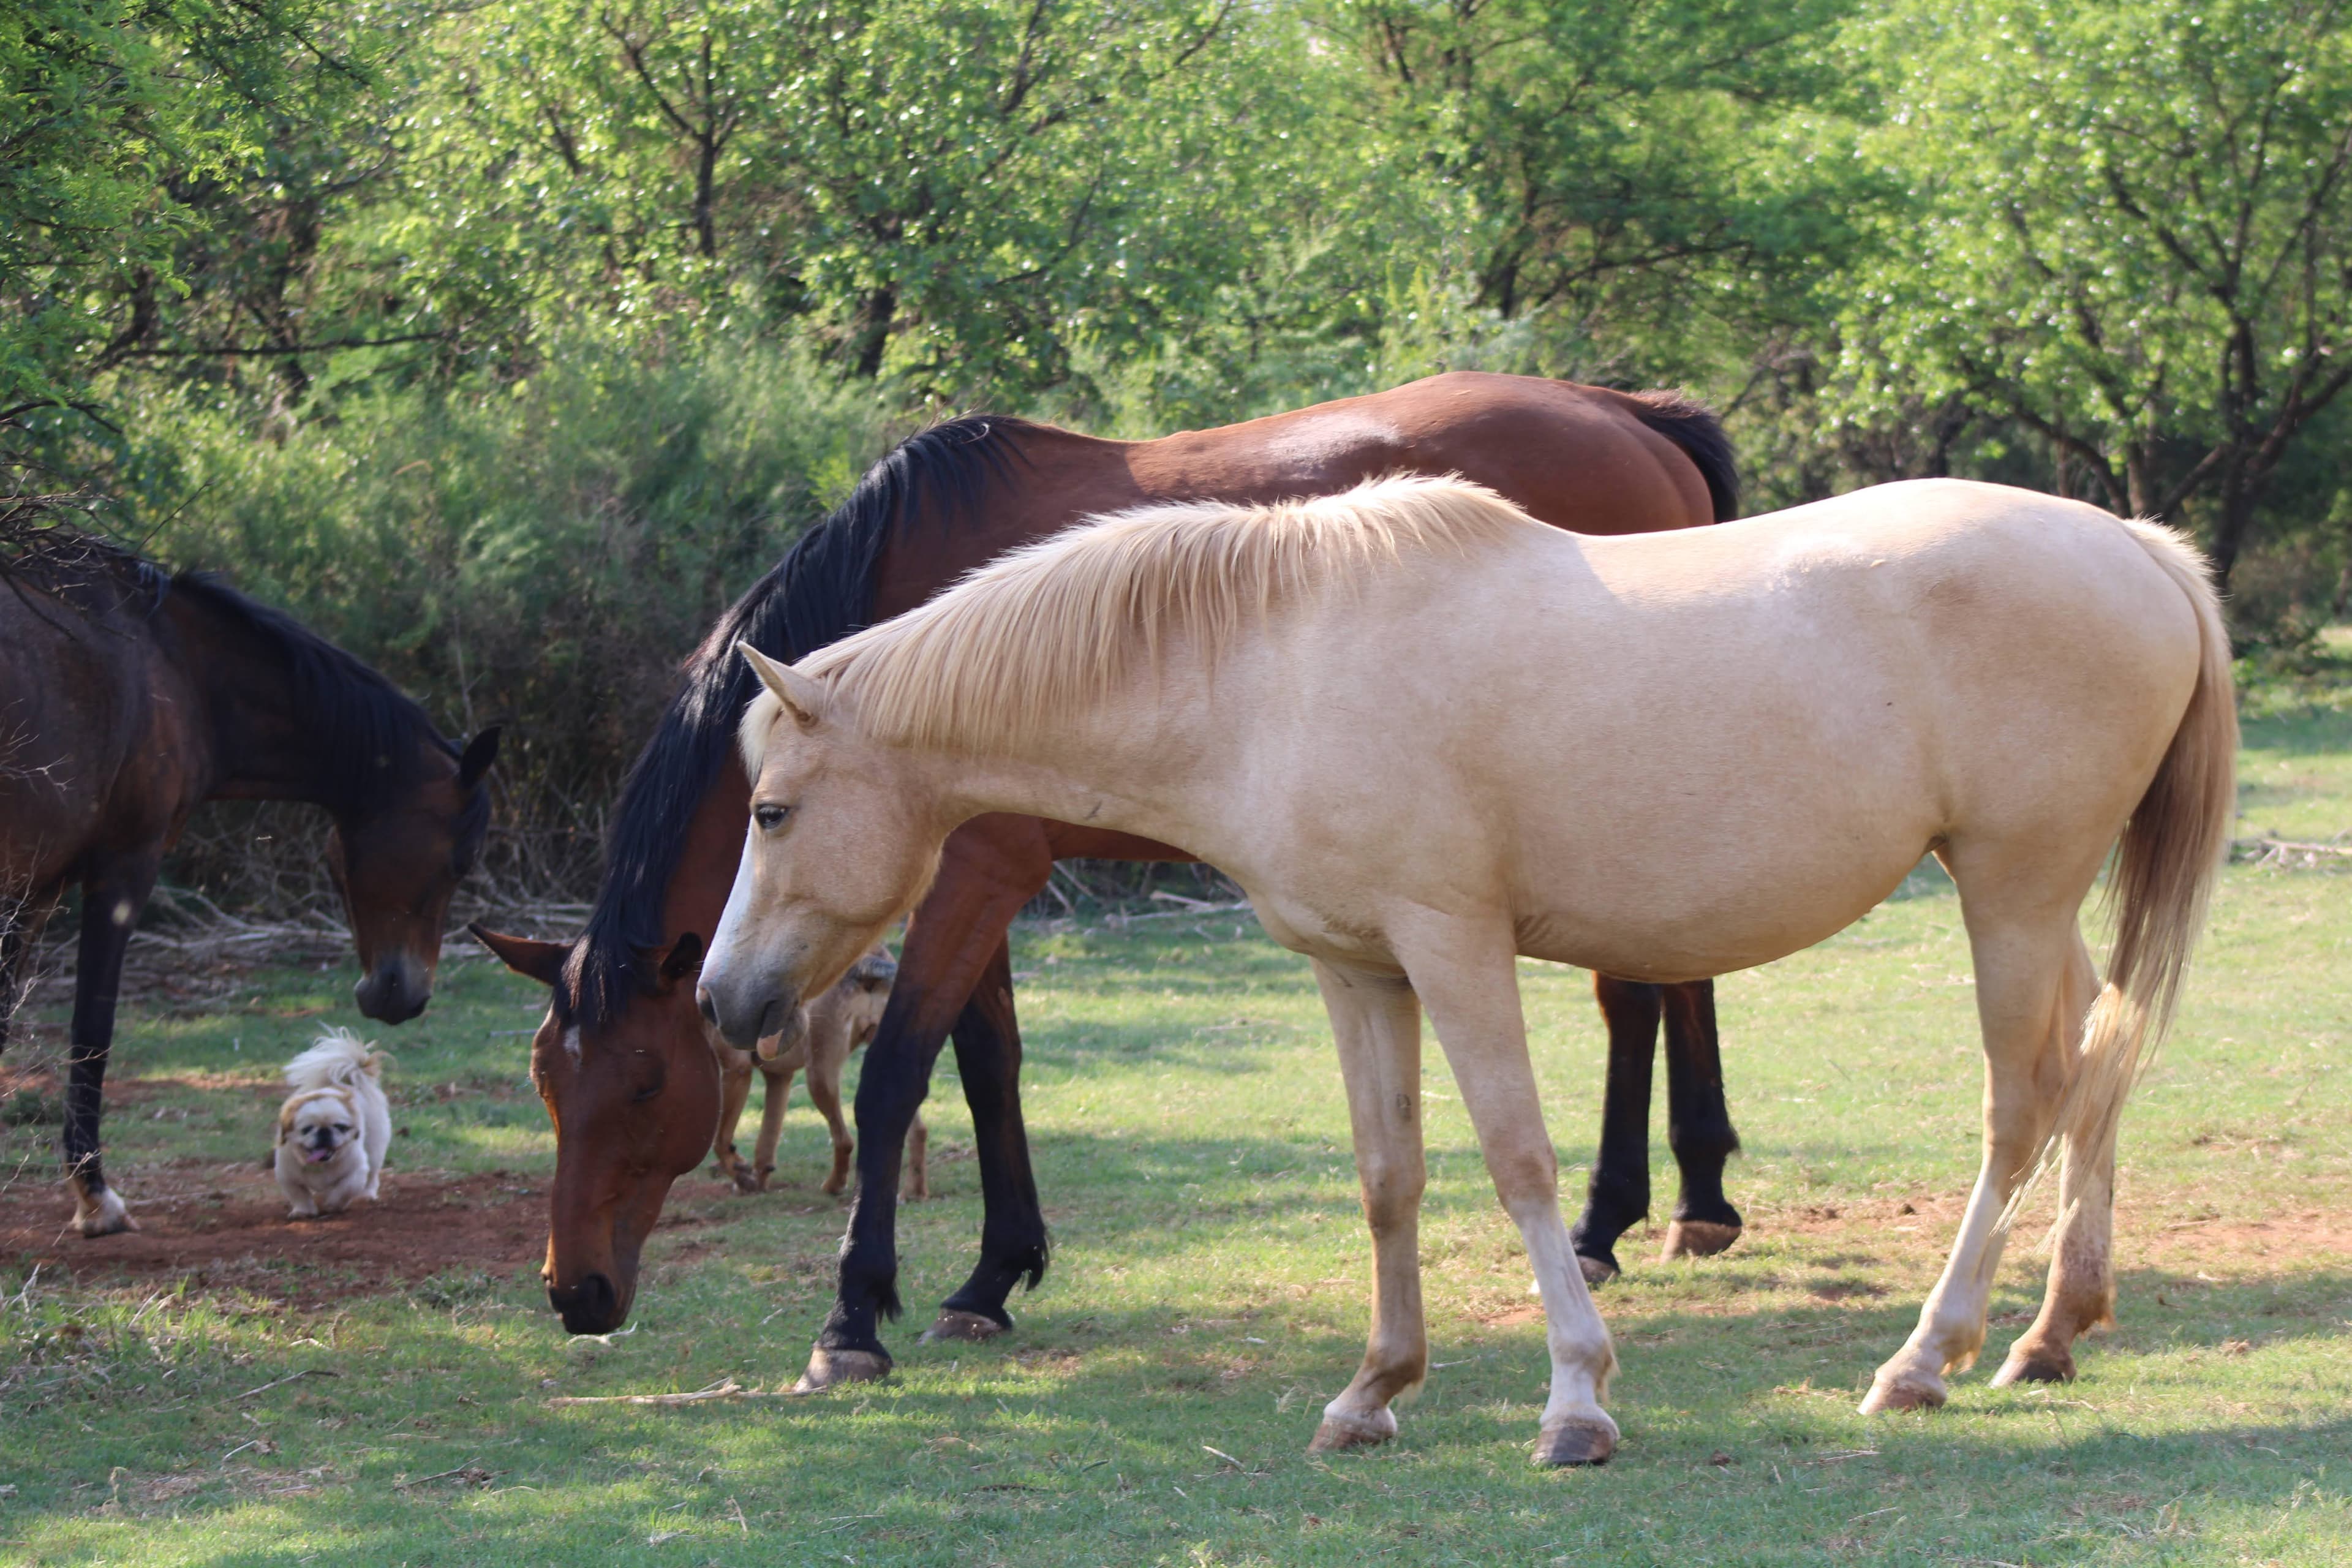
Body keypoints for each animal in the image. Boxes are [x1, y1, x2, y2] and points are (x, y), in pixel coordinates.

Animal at [0, 516, 499, 1235]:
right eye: (461, 860)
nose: (405, 998)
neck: (175, 665)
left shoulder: (34, 889)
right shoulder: (124, 866)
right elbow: (92, 1030)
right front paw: (96, 1197)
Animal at [470, 371, 1748, 1357]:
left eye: (644, 1084)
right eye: (548, 1088)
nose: (574, 1293)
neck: (910, 619)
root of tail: (1629, 411)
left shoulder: (975, 877)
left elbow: (897, 1075)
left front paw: (855, 1314)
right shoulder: (977, 878)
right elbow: (990, 1067)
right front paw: (992, 1277)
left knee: (1637, 998)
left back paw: (1611, 1222)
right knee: (1673, 982)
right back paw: (1693, 1198)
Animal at [699, 475, 2233, 1465]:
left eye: (770, 811)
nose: (723, 1002)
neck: (1274, 666)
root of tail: (2140, 547)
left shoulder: (1453, 942)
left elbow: (1517, 1157)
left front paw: (1576, 1401)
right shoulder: (1357, 968)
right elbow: (1391, 1177)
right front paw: (1373, 1389)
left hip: (2011, 890)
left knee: (2024, 1101)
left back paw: (1926, 1358)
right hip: (2034, 899)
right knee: (2100, 1055)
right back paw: (2053, 1330)